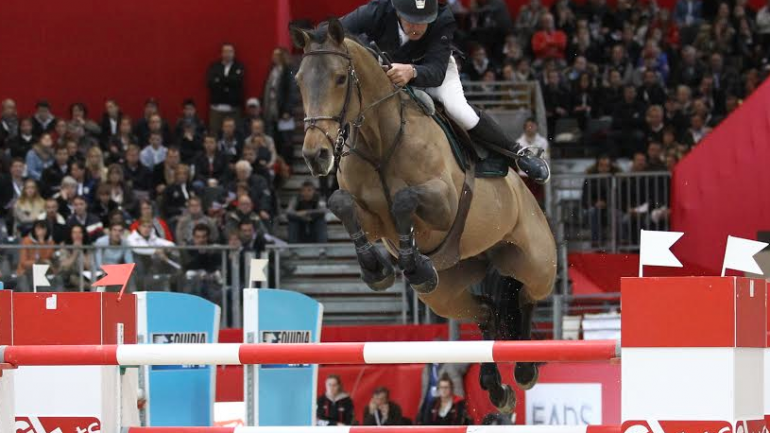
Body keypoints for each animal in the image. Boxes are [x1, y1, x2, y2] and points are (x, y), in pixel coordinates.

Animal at [292, 19, 556, 412]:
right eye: (298, 79)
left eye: (340, 78)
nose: (315, 155)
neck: (380, 140)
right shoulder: (373, 220)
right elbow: (342, 203)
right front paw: (378, 268)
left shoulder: (445, 205)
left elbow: (404, 200)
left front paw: (412, 263)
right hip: (446, 293)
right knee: (486, 311)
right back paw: (497, 388)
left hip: (536, 264)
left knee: (524, 298)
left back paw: (524, 368)